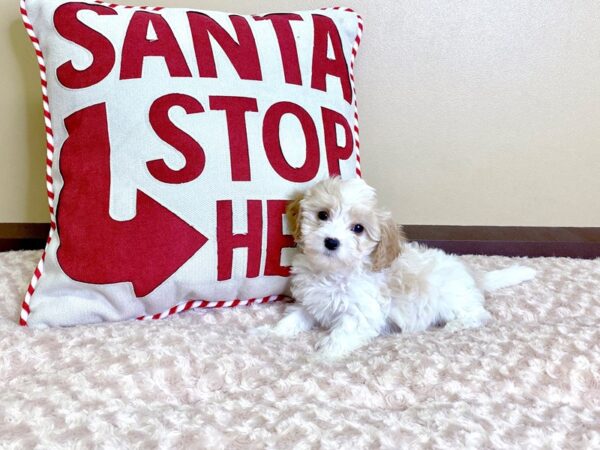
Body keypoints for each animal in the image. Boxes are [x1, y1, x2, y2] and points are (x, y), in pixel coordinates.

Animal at [268, 176, 536, 358]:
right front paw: (272, 333)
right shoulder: (311, 301)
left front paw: (324, 355)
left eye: (358, 228)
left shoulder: (361, 313)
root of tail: (471, 274)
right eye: (323, 215)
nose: (331, 242)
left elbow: (343, 333)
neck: (332, 272)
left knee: (479, 314)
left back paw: (455, 326)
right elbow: (295, 318)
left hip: (453, 300)